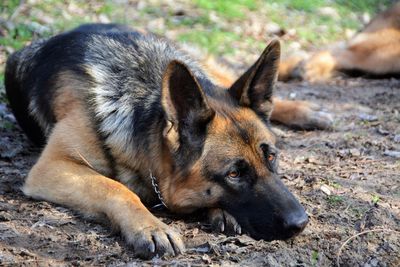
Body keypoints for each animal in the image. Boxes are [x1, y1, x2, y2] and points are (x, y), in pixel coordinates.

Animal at [5, 23, 310, 260]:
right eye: (234, 174)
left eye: (271, 157)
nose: (302, 222)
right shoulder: (52, 166)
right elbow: (115, 188)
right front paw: (151, 227)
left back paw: (305, 107)